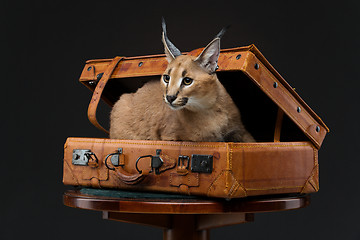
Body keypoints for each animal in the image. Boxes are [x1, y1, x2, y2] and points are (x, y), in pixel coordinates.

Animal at [108, 20, 255, 142]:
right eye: (167, 78)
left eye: (187, 81)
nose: (170, 97)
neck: (209, 107)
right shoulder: (169, 137)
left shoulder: (241, 130)